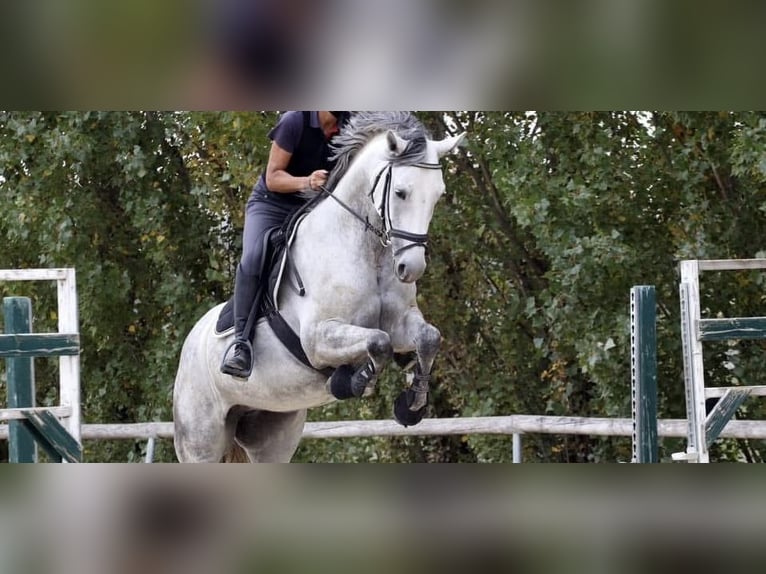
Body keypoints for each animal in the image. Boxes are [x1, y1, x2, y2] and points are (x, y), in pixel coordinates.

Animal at [173, 112, 465, 462]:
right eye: (400, 193)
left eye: (438, 195)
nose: (411, 268)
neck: (368, 252)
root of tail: (190, 341)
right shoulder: (317, 337)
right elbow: (378, 342)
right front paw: (351, 381)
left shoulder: (400, 323)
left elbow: (428, 338)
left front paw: (411, 405)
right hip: (200, 438)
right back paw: (239, 358)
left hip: (271, 430)